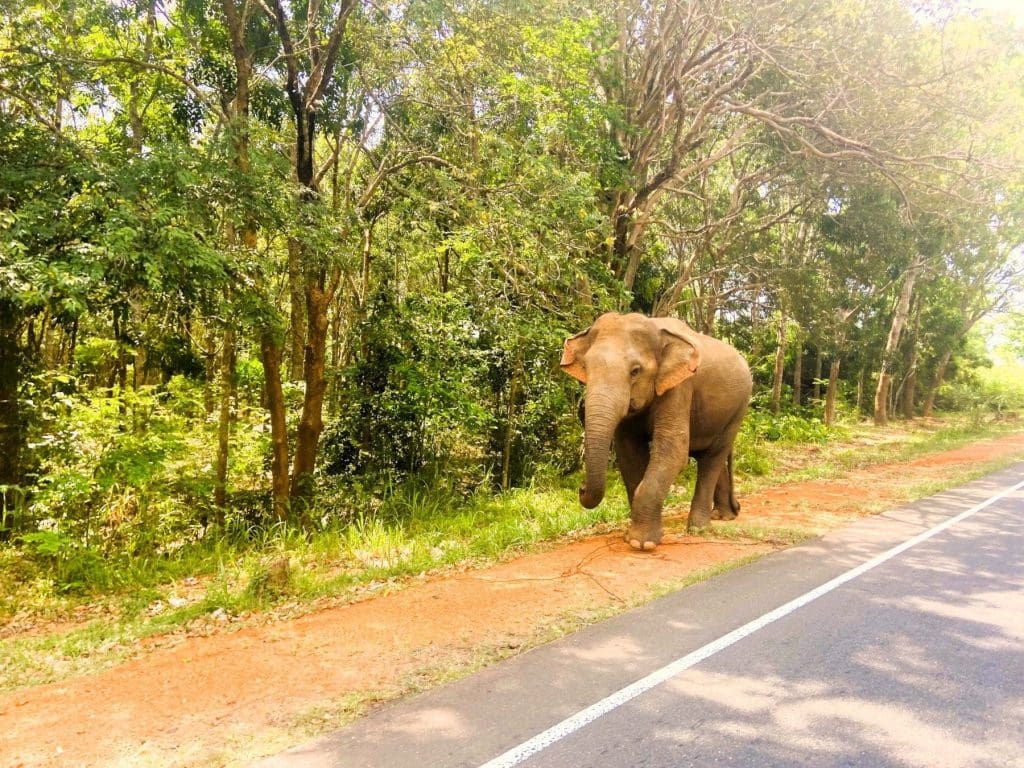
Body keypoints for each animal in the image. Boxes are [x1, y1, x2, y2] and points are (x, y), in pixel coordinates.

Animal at [561, 313, 753, 552]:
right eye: (586, 368)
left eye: (635, 371)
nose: (581, 488)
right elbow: (629, 453)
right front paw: (633, 536)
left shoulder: (680, 386)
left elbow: (673, 449)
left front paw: (641, 543)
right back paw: (723, 516)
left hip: (739, 409)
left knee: (713, 457)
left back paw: (699, 528)